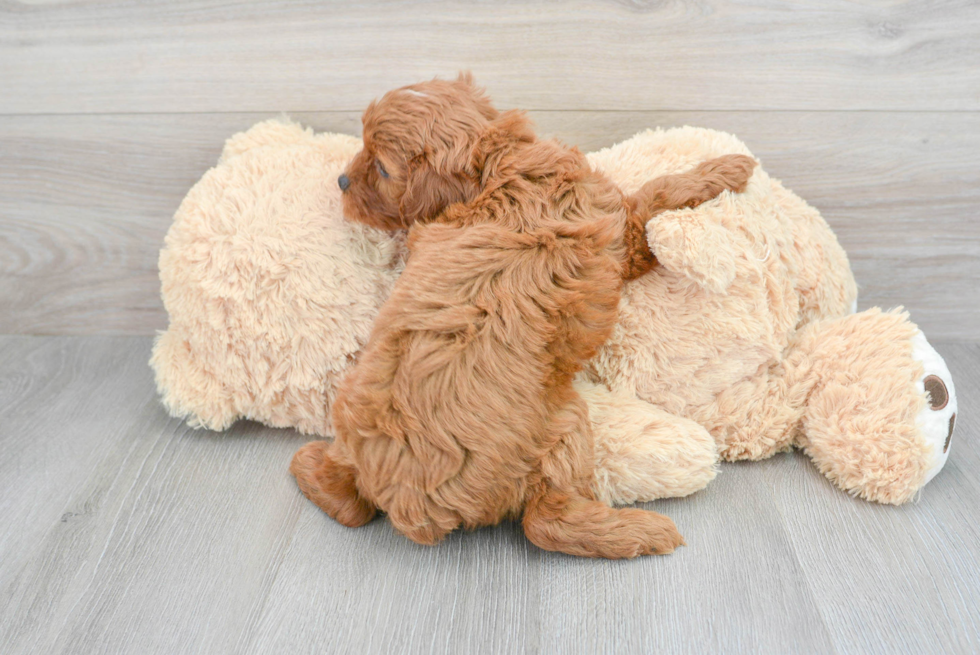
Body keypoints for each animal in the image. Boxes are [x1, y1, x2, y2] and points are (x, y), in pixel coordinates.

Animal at [290, 75, 756, 560]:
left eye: (380, 169)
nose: (341, 180)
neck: (496, 171)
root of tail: (407, 502)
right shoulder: (618, 231)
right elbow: (657, 192)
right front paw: (729, 167)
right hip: (563, 425)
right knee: (545, 522)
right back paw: (635, 531)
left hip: (350, 416)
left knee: (347, 501)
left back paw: (308, 464)